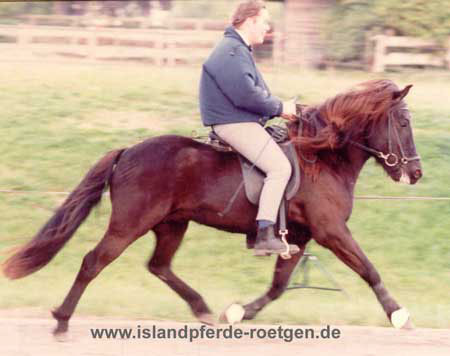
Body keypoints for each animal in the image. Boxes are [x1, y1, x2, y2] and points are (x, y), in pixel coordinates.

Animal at [2, 78, 422, 334]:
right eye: (403, 123)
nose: (415, 173)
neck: (322, 156)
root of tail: (128, 152)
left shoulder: (301, 238)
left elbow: (278, 287)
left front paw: (238, 312)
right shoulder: (331, 231)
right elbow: (369, 269)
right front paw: (398, 314)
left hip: (172, 224)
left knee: (159, 266)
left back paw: (202, 309)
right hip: (129, 224)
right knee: (93, 262)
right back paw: (61, 321)